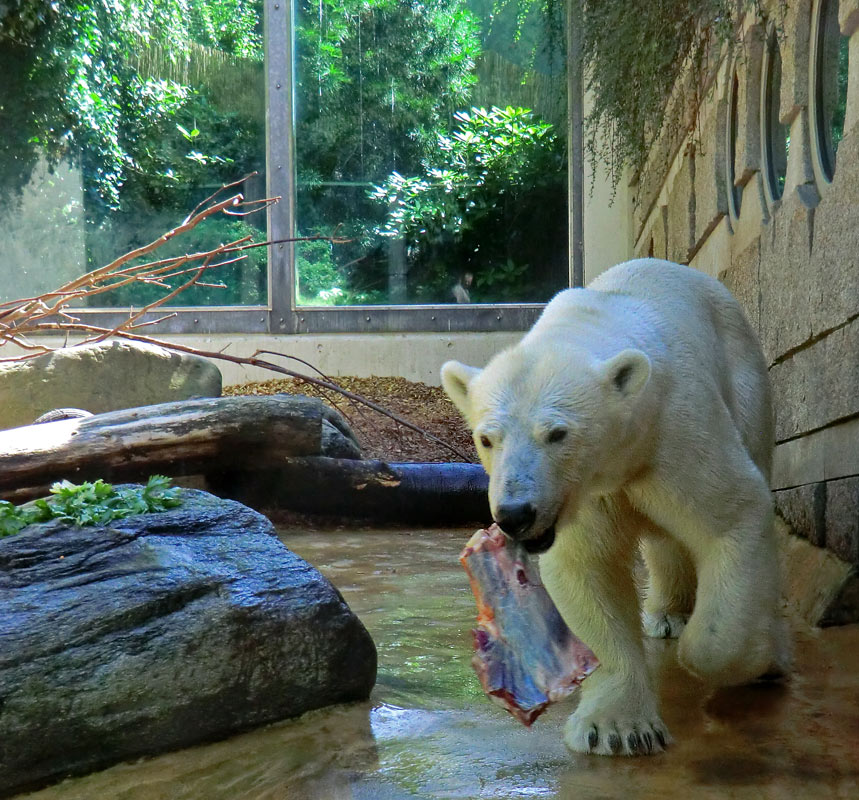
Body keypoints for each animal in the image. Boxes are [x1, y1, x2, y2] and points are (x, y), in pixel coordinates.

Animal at [444, 258, 792, 756]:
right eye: (487, 438)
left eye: (557, 433)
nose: (515, 514)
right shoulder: (586, 494)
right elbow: (588, 569)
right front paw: (618, 728)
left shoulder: (675, 431)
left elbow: (732, 516)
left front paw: (761, 663)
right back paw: (667, 613)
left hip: (745, 380)